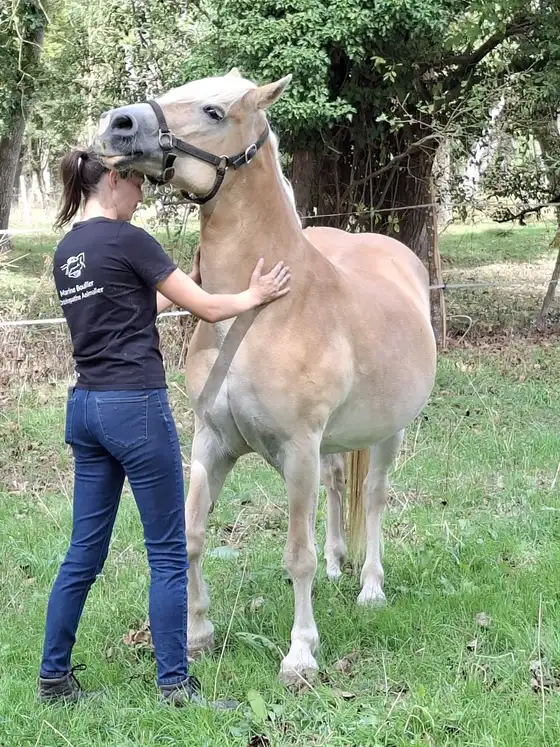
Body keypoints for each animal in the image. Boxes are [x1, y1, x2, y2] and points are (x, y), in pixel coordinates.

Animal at [92, 69, 437, 685]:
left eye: (213, 110)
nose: (117, 124)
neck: (261, 312)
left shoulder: (298, 448)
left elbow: (296, 553)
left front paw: (300, 654)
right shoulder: (211, 442)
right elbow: (193, 536)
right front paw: (198, 633)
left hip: (387, 433)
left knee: (373, 497)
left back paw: (370, 588)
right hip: (334, 444)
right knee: (337, 487)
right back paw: (338, 565)